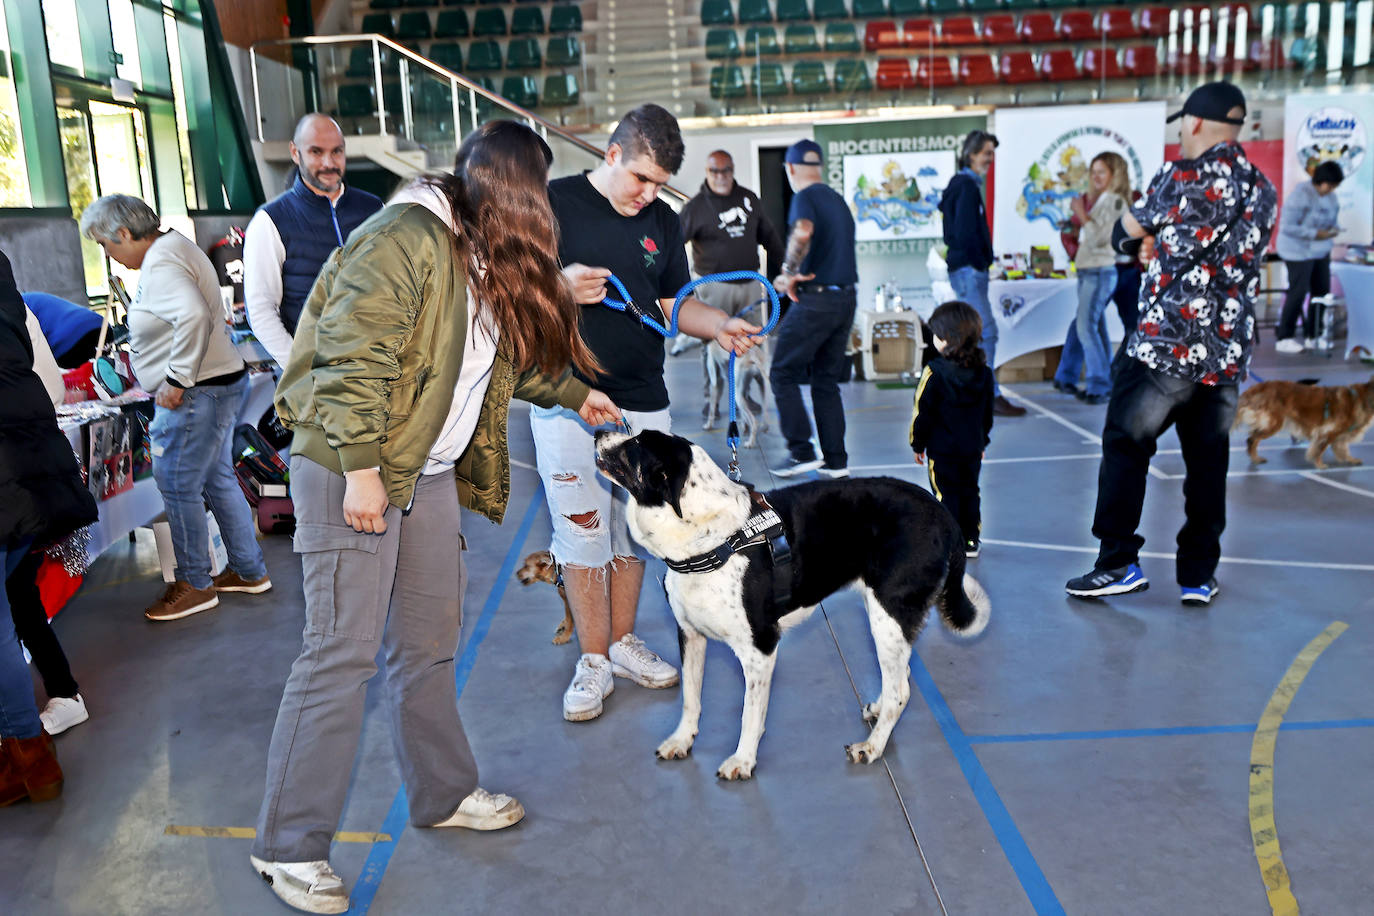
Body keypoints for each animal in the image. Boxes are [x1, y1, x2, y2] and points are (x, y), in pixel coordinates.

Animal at [590, 431, 989, 780]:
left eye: (635, 442)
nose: (597, 432)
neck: (709, 538)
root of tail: (944, 515)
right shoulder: (690, 635)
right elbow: (691, 697)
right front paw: (681, 740)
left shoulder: (760, 648)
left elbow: (750, 713)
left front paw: (743, 761)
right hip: (888, 618)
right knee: (901, 676)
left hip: (887, 614)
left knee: (899, 692)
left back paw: (872, 747)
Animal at [1236, 373, 1374, 469]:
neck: (1361, 400)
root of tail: (1260, 386)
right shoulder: (1328, 432)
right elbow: (1320, 450)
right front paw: (1319, 465)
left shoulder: (1340, 435)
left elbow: (1343, 449)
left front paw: (1351, 459)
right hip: (1273, 424)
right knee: (1252, 439)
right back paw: (1255, 458)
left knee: (1251, 438)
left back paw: (1254, 457)